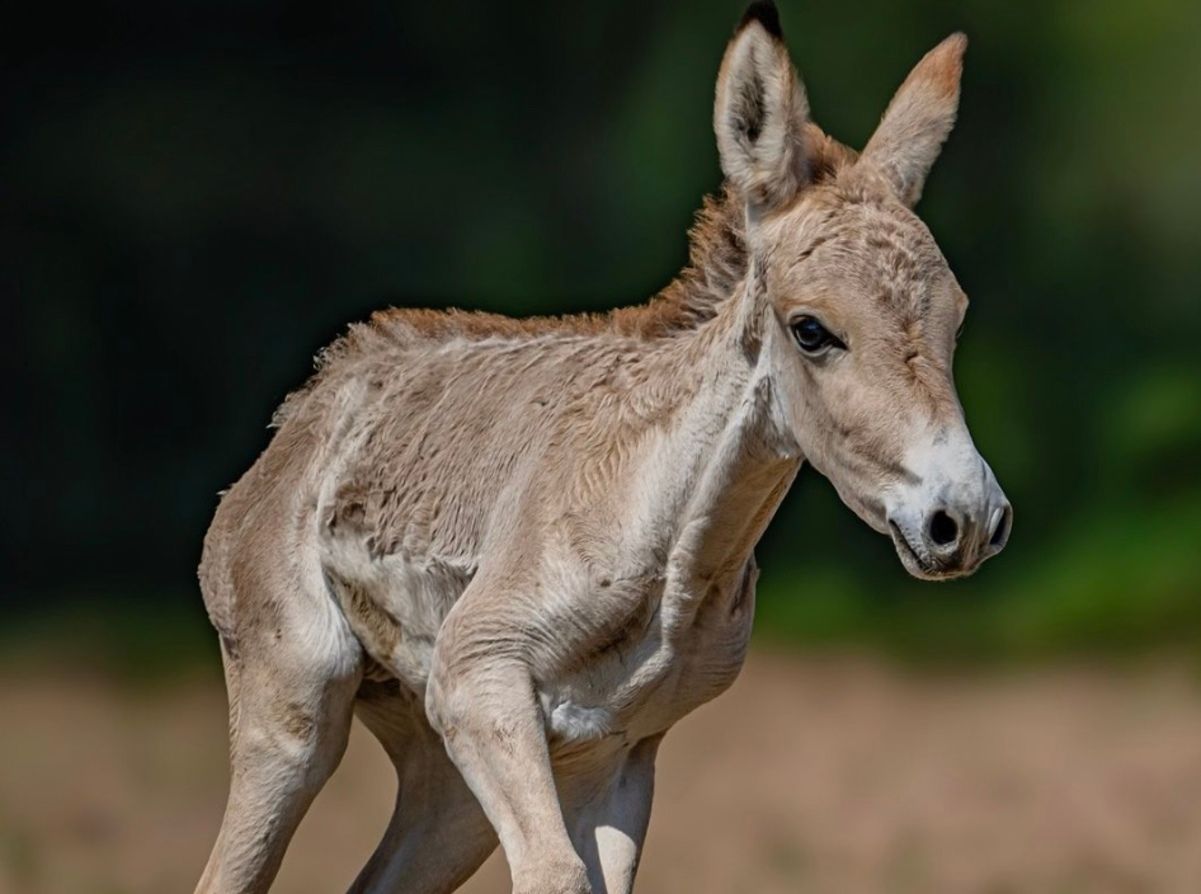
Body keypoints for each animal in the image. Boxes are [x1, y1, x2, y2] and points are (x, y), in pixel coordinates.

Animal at [196, 3, 1013, 889]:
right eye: (810, 330)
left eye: (955, 318)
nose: (967, 519)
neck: (672, 547)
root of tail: (298, 421)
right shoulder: (479, 676)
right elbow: (554, 874)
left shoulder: (612, 754)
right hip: (298, 718)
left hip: (444, 781)